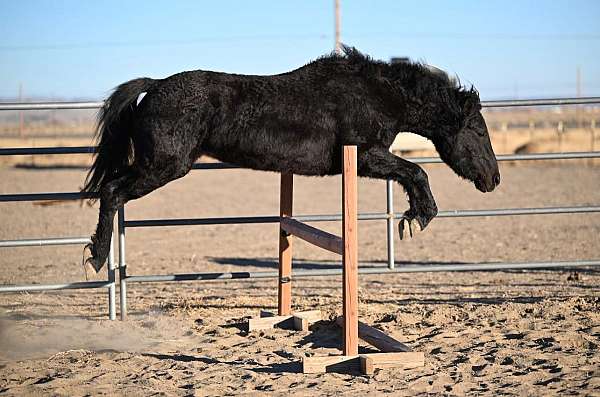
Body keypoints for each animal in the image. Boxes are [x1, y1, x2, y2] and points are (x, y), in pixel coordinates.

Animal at [82, 44, 500, 270]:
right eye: (479, 131)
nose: (493, 179)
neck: (375, 93)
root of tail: (154, 86)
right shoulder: (365, 156)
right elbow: (415, 172)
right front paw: (416, 219)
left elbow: (411, 173)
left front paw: (412, 218)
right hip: (163, 165)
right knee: (112, 192)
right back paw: (96, 259)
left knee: (112, 190)